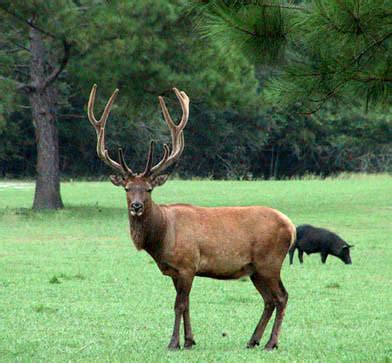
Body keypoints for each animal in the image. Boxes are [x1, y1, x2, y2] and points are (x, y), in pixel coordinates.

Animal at [86, 84, 294, 352]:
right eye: (127, 188)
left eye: (149, 189)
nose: (136, 206)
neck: (161, 238)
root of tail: (291, 226)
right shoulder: (176, 271)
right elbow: (186, 304)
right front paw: (190, 340)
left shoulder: (187, 265)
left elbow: (179, 304)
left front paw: (174, 342)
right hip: (255, 268)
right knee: (269, 299)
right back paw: (253, 340)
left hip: (270, 260)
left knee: (282, 296)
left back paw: (271, 342)